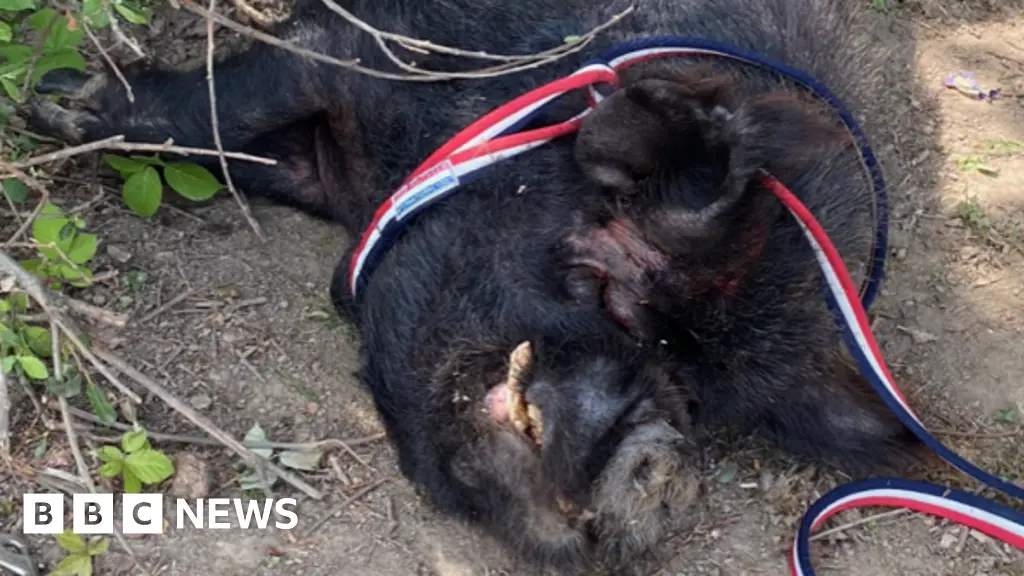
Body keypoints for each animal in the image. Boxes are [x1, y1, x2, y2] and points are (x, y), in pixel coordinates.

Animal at [24, 0, 921, 565]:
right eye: (607, 287)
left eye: (695, 396)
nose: (663, 464)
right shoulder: (370, 49)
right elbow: (228, 108)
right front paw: (57, 100)